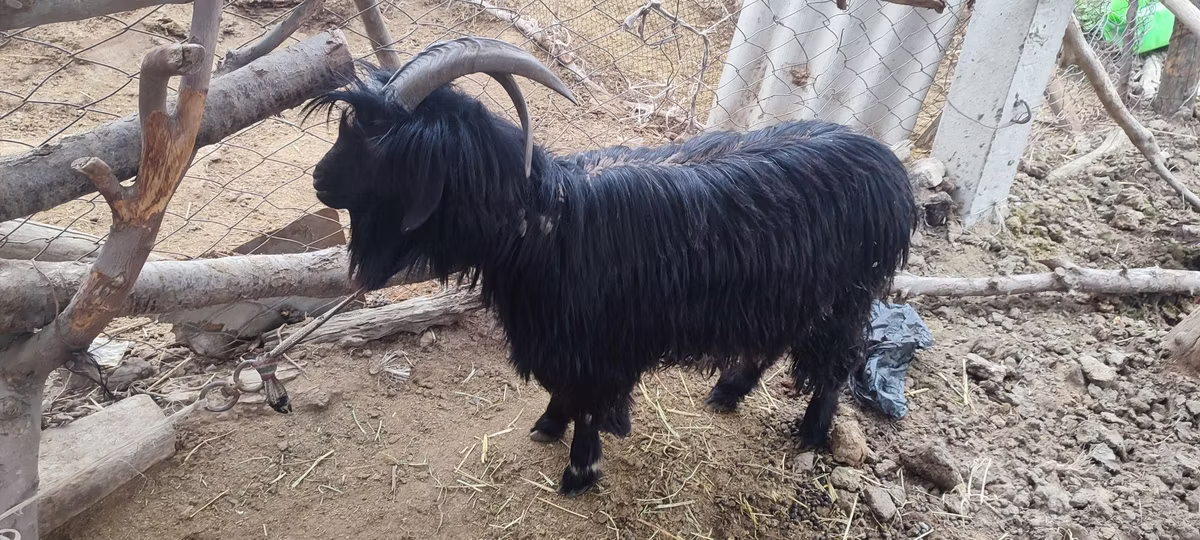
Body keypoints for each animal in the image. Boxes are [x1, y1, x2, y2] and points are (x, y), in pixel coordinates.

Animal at [304, 36, 918, 497]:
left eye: (377, 140)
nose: (319, 181)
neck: (548, 220)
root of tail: (888, 166)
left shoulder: (597, 344)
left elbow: (589, 404)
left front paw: (579, 470)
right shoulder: (562, 336)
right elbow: (566, 392)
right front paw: (547, 426)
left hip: (844, 294)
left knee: (839, 358)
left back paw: (811, 433)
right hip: (786, 291)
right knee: (774, 341)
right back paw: (728, 391)